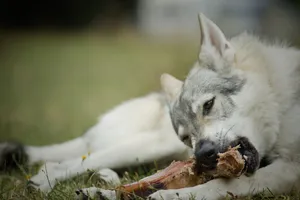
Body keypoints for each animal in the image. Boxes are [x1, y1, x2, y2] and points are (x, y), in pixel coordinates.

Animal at [1, 13, 300, 199]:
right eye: (186, 137)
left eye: (208, 105)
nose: (202, 155)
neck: (284, 105)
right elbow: (220, 185)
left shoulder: (288, 169)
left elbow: (218, 186)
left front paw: (168, 196)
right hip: (151, 146)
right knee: (67, 162)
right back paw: (48, 182)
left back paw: (103, 187)